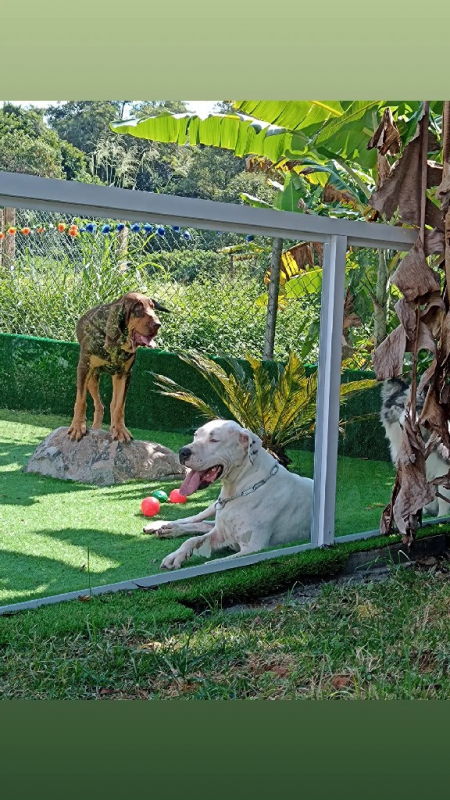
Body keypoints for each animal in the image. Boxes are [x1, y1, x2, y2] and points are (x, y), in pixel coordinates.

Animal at [67, 292, 170, 444]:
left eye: (152, 307)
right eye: (137, 309)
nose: (158, 325)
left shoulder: (125, 374)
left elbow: (120, 406)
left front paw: (120, 430)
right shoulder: (84, 368)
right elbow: (80, 401)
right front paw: (77, 427)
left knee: (111, 405)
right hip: (92, 378)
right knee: (99, 405)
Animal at [144, 422, 312, 572]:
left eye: (214, 440)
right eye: (195, 435)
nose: (183, 451)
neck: (242, 486)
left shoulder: (252, 547)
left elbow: (210, 561)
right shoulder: (220, 534)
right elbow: (192, 540)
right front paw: (175, 556)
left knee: (204, 524)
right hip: (214, 506)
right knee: (195, 519)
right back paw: (163, 525)